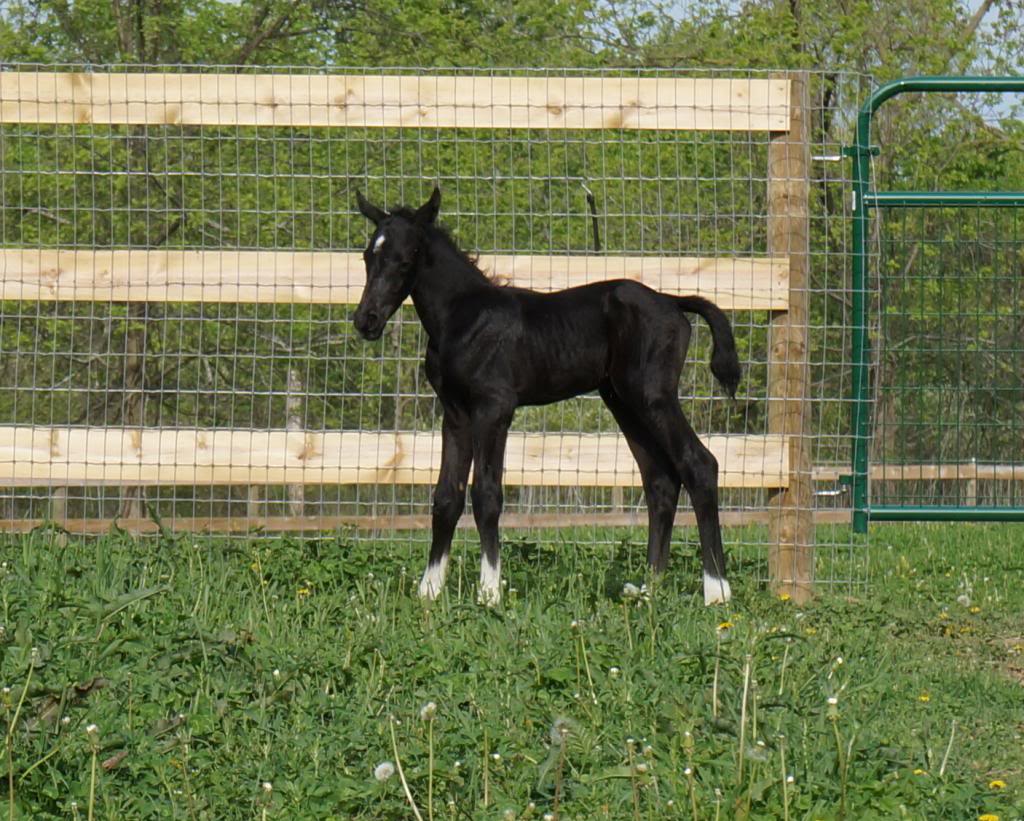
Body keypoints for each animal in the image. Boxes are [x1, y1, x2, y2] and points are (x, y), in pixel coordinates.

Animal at [352, 188, 737, 606]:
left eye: (406, 259)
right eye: (367, 256)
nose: (366, 320)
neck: (464, 318)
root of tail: (671, 300)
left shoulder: (494, 408)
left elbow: (487, 494)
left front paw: (490, 592)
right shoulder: (455, 413)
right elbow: (446, 497)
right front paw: (430, 590)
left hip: (653, 396)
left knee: (699, 464)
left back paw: (717, 591)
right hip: (623, 401)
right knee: (660, 481)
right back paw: (649, 590)